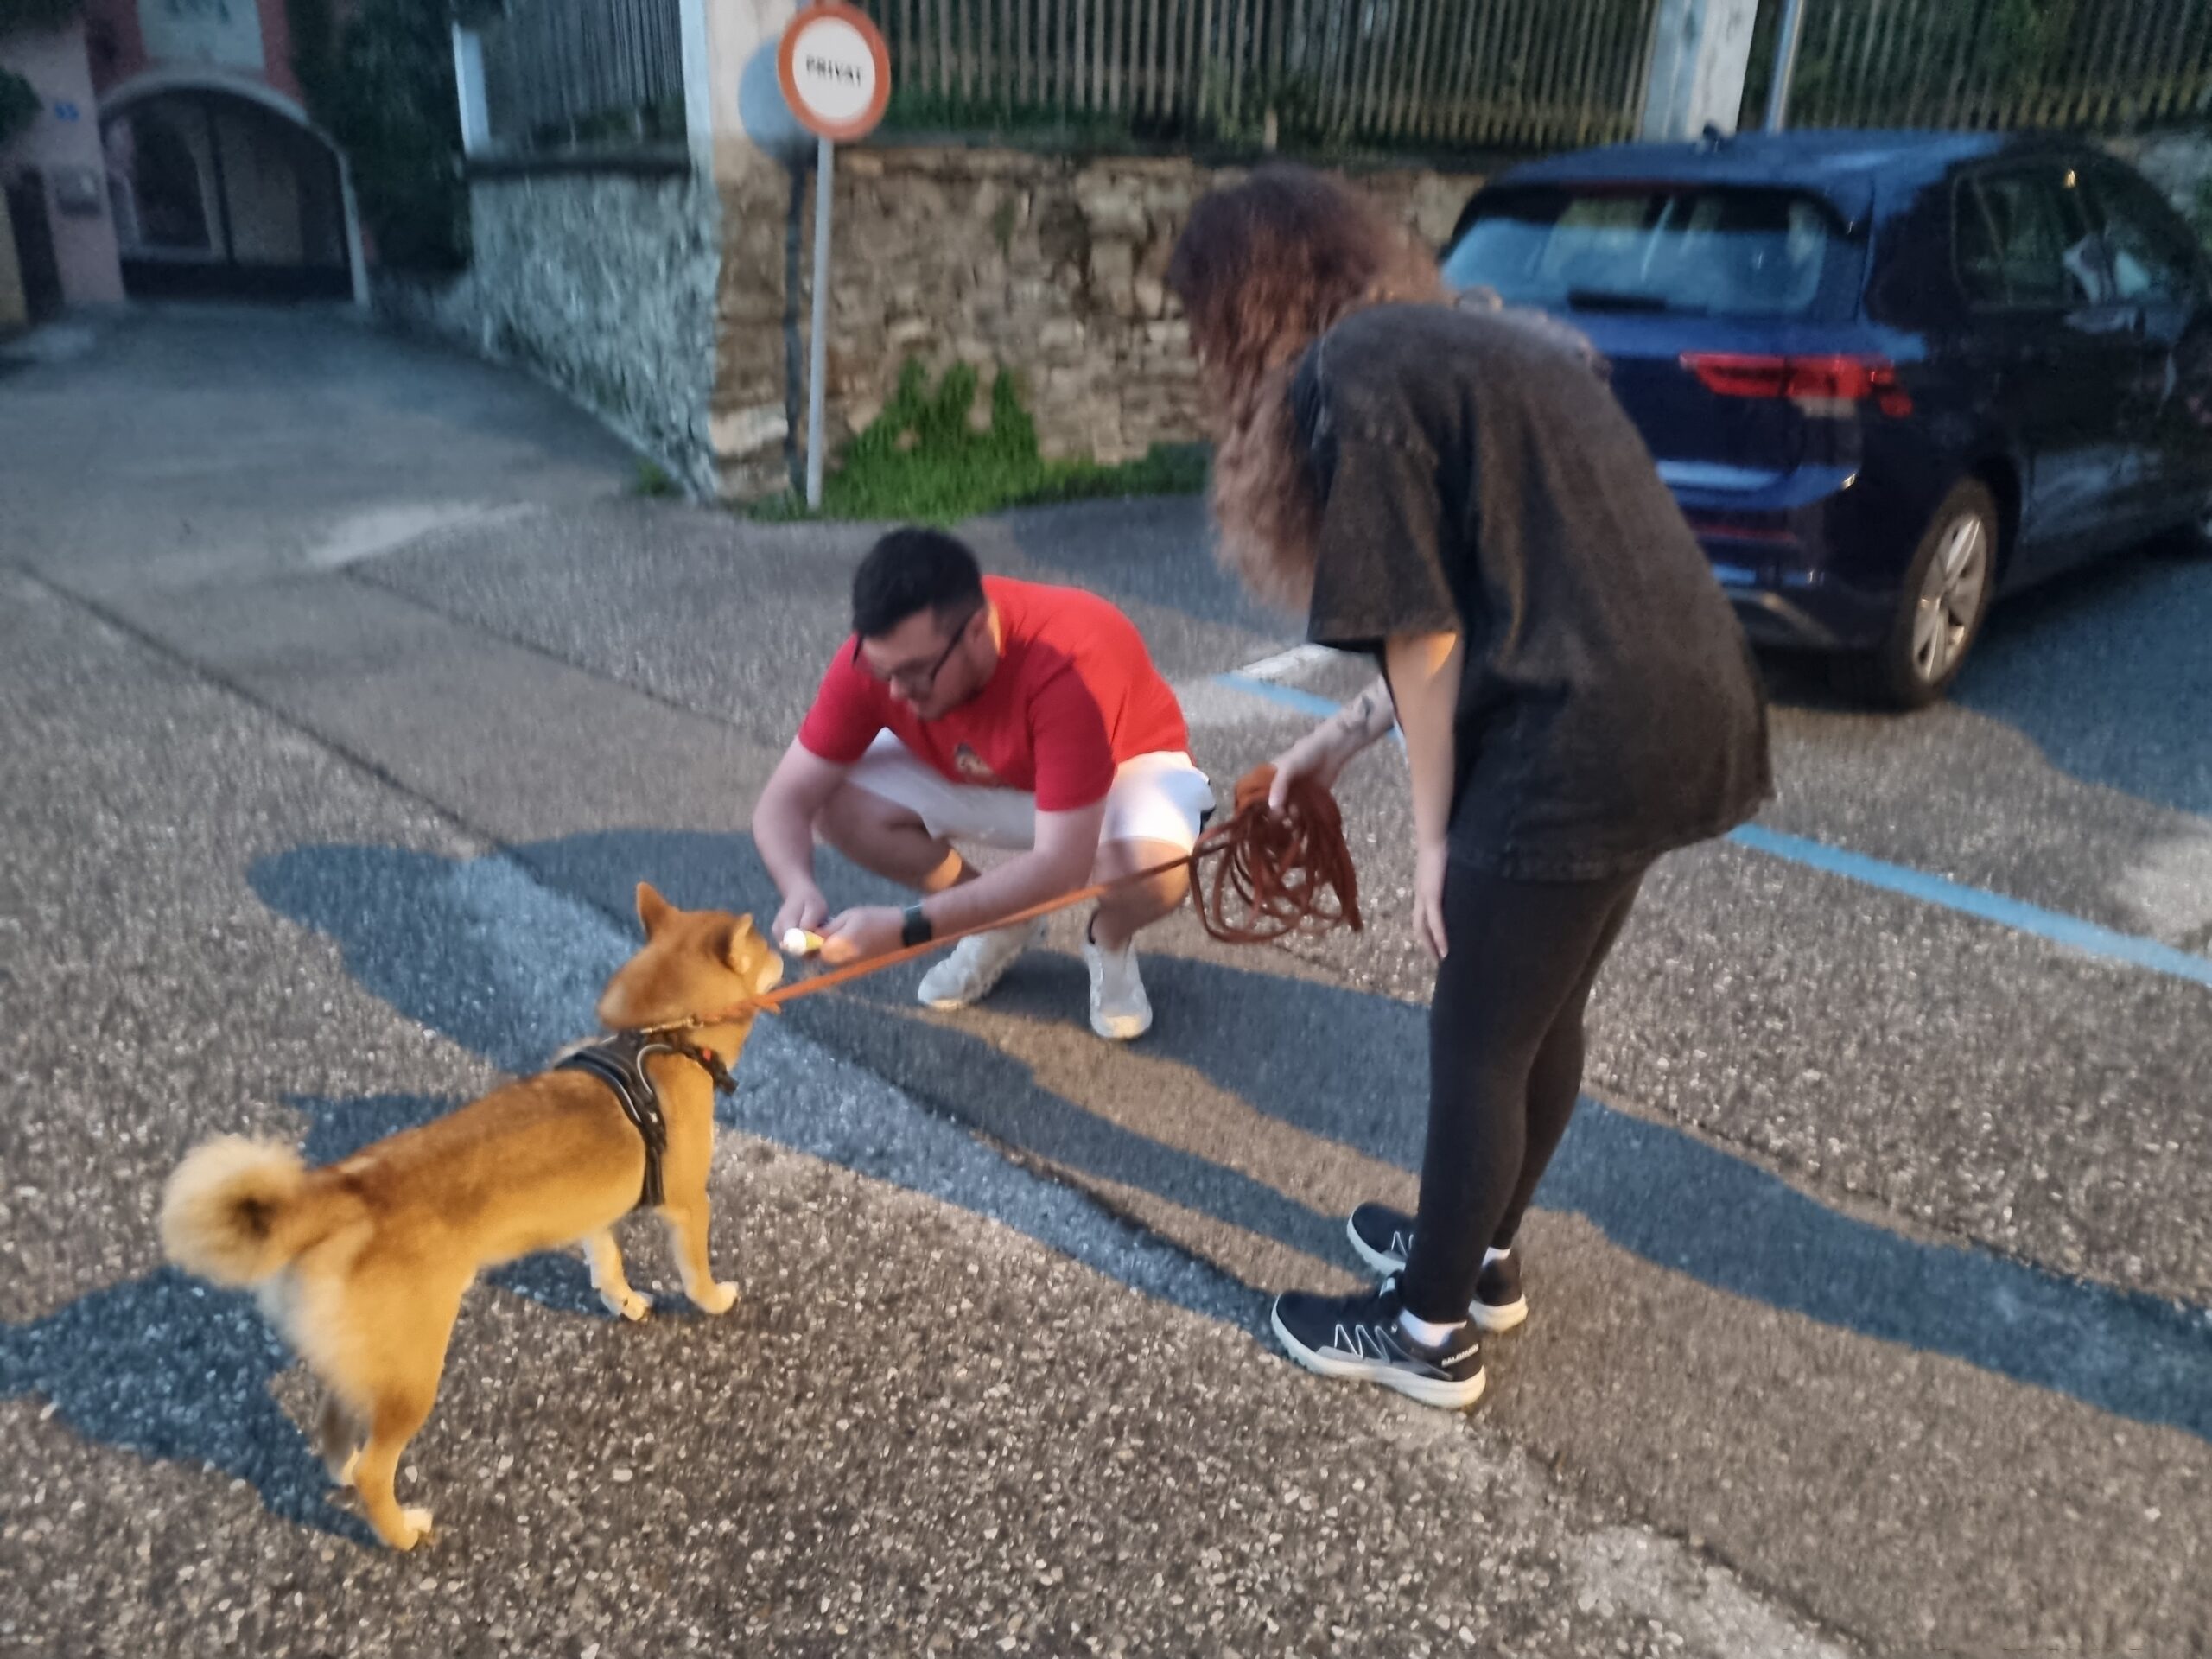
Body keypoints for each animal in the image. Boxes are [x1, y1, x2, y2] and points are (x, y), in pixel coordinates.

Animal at [158, 883, 781, 1550]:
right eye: (765, 947)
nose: (788, 950)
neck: (658, 1037)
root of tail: (343, 1191)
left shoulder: (595, 1214)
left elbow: (607, 1262)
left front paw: (624, 1300)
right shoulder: (689, 1205)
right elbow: (695, 1271)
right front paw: (713, 1299)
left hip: (365, 1363)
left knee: (333, 1424)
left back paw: (342, 1469)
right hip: (414, 1376)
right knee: (379, 1468)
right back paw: (400, 1530)